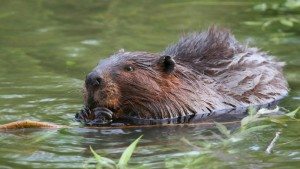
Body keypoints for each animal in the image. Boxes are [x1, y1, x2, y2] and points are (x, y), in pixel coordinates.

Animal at [75, 27, 288, 126]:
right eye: (100, 61)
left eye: (129, 68)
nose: (92, 79)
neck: (190, 81)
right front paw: (83, 112)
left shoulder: (184, 101)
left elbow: (155, 114)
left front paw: (103, 113)